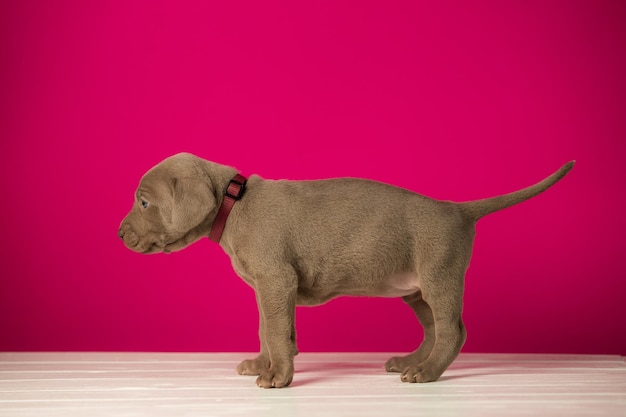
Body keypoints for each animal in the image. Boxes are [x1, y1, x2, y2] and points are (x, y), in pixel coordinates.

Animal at [117, 153, 572, 386]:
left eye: (144, 202)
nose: (119, 234)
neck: (235, 202)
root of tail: (457, 210)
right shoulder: (265, 288)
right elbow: (266, 328)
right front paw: (262, 364)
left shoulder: (276, 280)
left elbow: (277, 332)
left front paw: (278, 375)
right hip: (415, 289)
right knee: (433, 330)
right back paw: (410, 361)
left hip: (440, 276)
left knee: (453, 331)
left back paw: (426, 372)